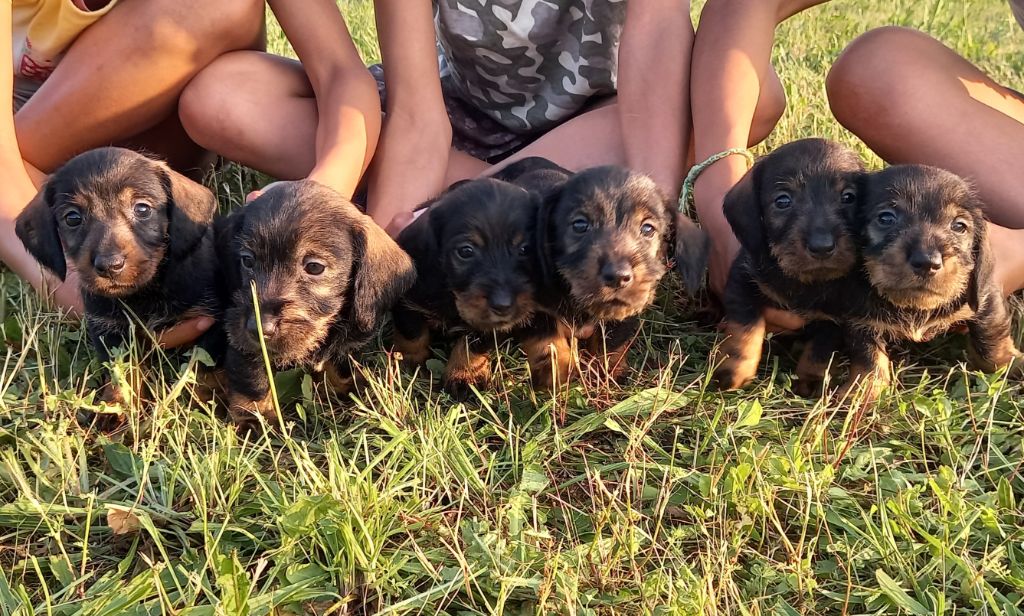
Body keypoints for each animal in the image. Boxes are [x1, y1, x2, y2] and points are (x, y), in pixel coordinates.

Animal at [14, 146, 223, 401]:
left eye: (142, 209)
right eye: (72, 218)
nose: (109, 266)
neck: (145, 293)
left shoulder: (212, 320)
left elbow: (202, 370)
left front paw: (207, 399)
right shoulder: (108, 330)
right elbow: (122, 376)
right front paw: (117, 406)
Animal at [219, 180, 415, 423]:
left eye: (314, 267)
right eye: (247, 260)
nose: (258, 327)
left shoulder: (348, 339)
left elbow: (340, 364)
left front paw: (346, 390)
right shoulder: (244, 344)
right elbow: (251, 378)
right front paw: (255, 418)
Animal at [391, 177, 573, 399]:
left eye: (525, 249)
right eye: (465, 251)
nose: (503, 305)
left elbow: (472, 345)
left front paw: (463, 375)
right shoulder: (407, 301)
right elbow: (412, 332)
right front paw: (408, 361)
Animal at [497, 157, 708, 378]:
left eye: (648, 228)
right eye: (580, 224)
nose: (618, 277)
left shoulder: (623, 314)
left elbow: (611, 347)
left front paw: (607, 375)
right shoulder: (533, 308)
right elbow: (548, 342)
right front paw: (557, 374)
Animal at [712, 138, 864, 388]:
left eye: (849, 196)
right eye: (783, 200)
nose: (822, 246)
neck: (805, 282)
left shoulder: (835, 319)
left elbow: (820, 349)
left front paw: (811, 379)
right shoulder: (742, 284)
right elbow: (745, 329)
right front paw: (733, 370)